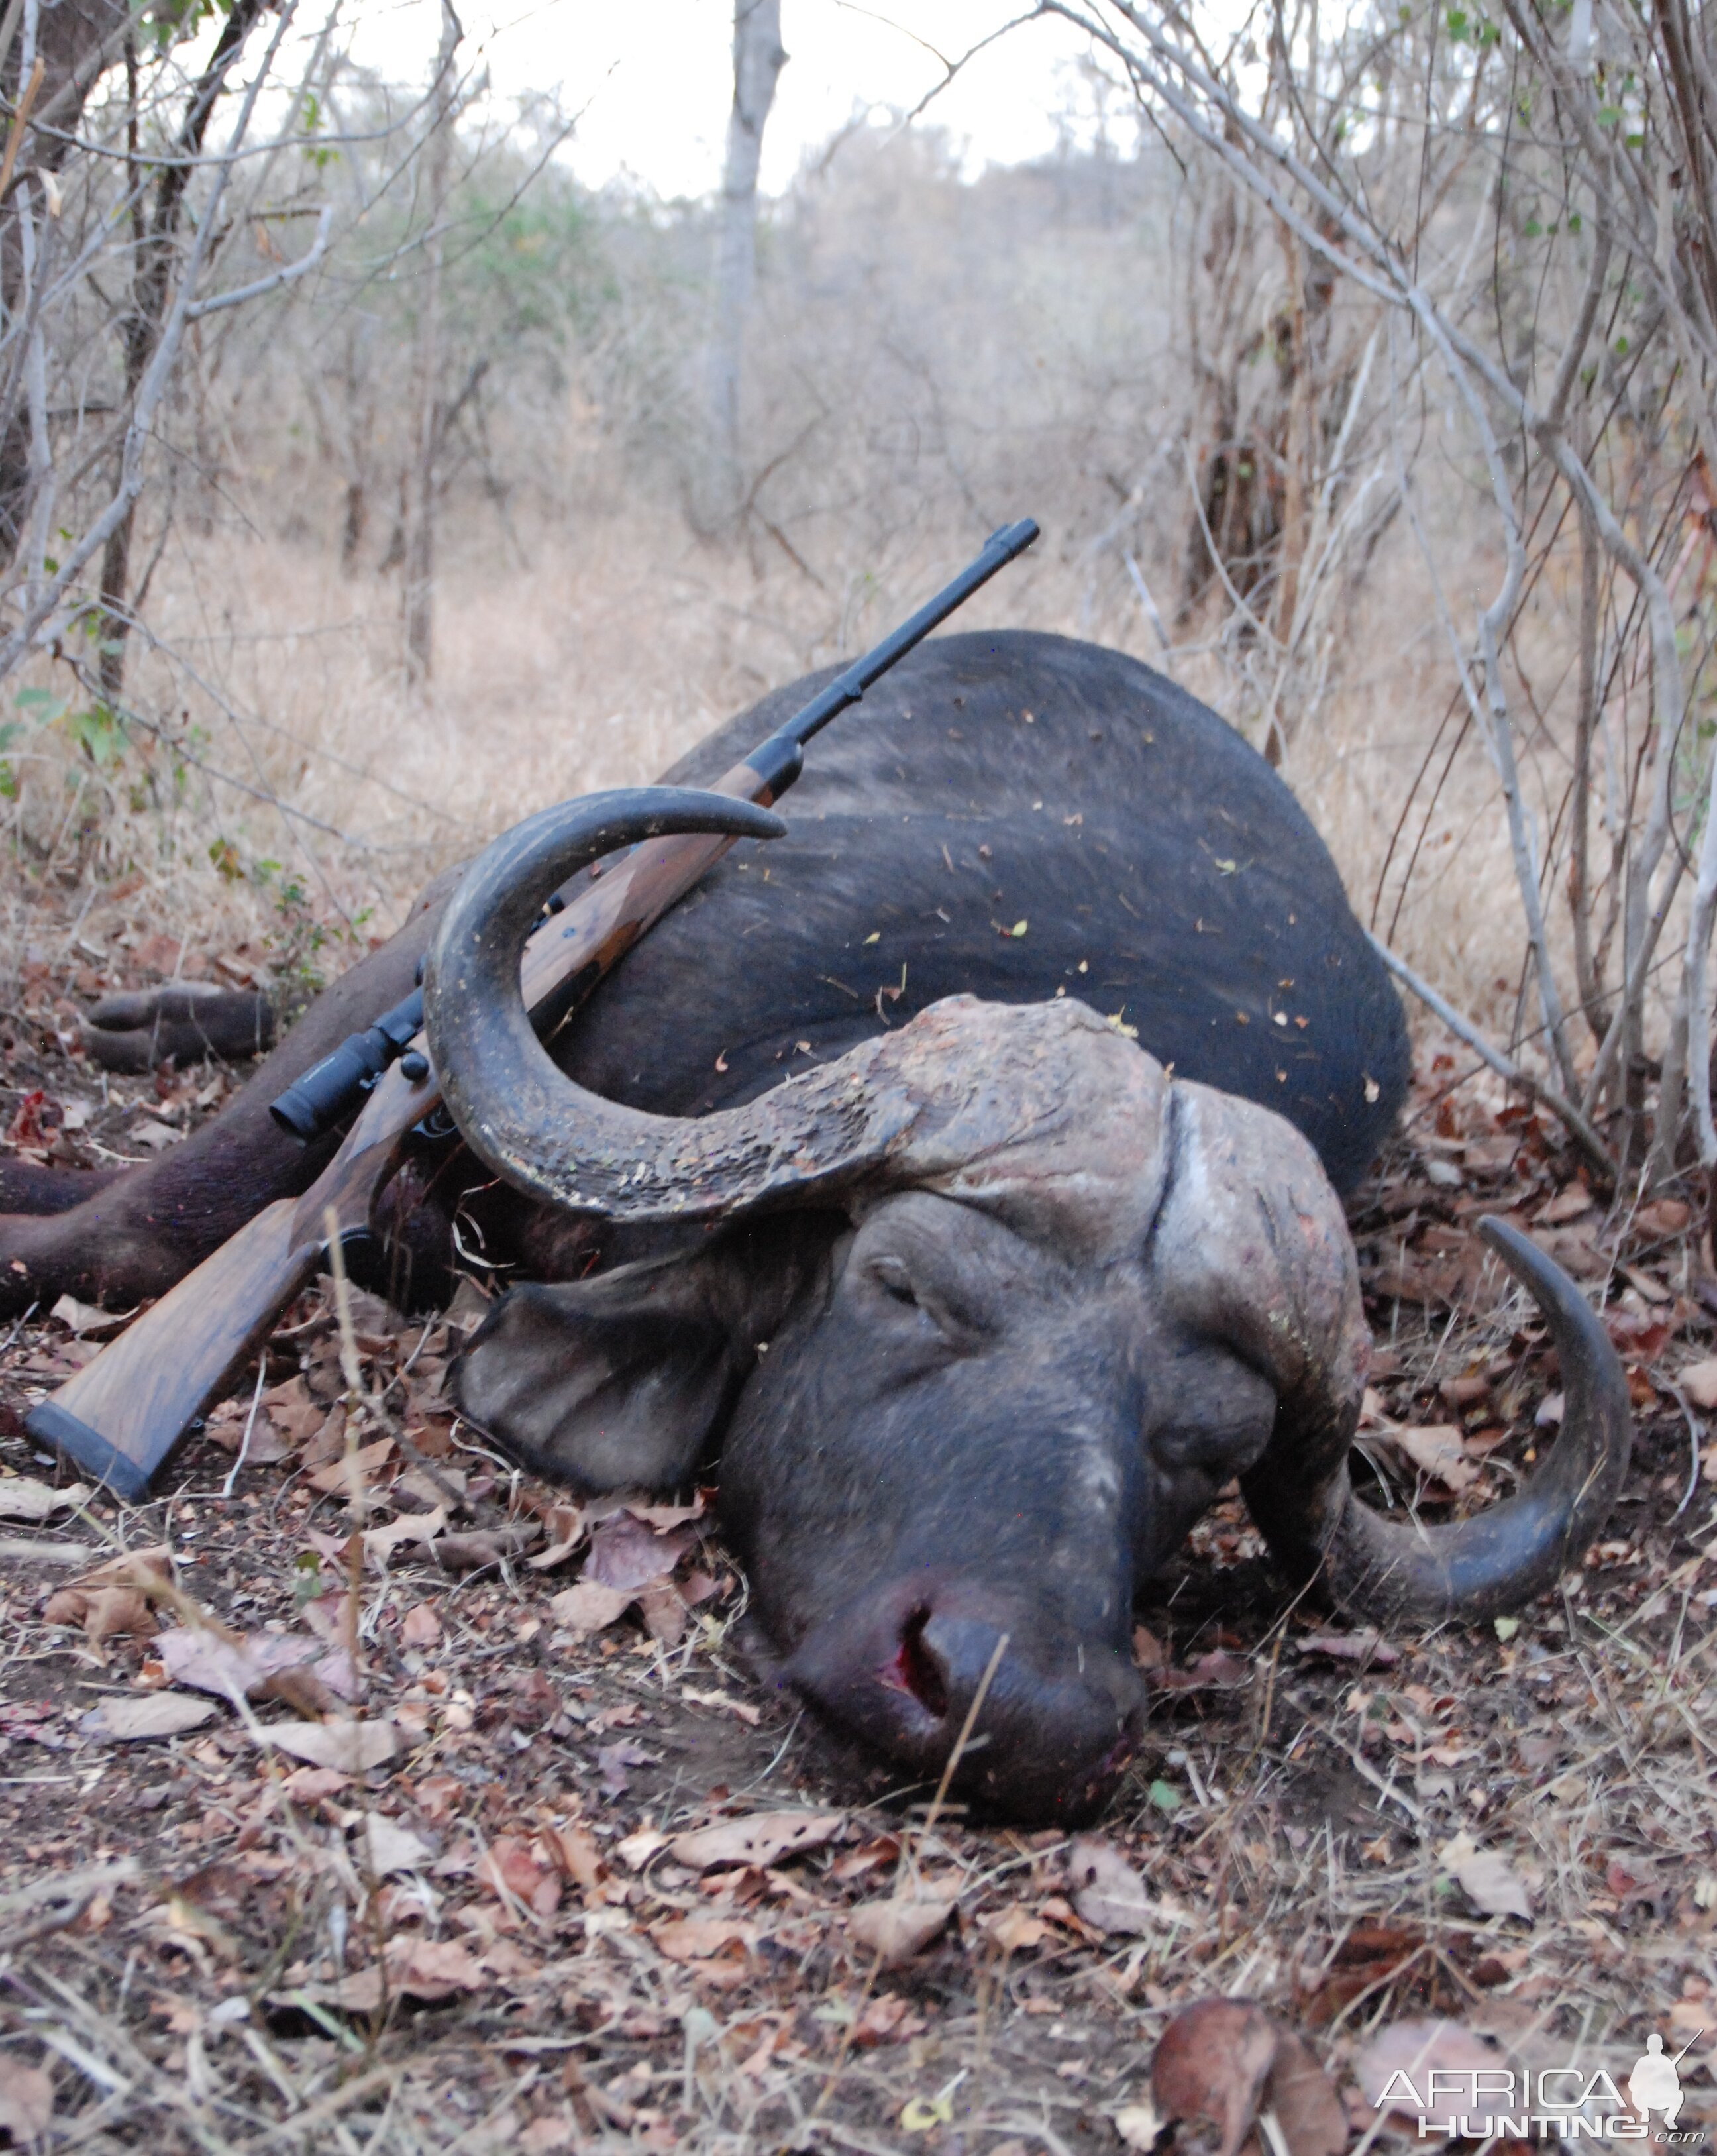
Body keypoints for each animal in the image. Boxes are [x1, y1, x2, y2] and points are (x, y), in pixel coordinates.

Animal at [3, 629, 1637, 1819]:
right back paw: (145, 1027)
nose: (1017, 1706)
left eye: (1208, 1451)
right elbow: (174, 1207)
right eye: (904, 1287)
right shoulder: (434, 976)